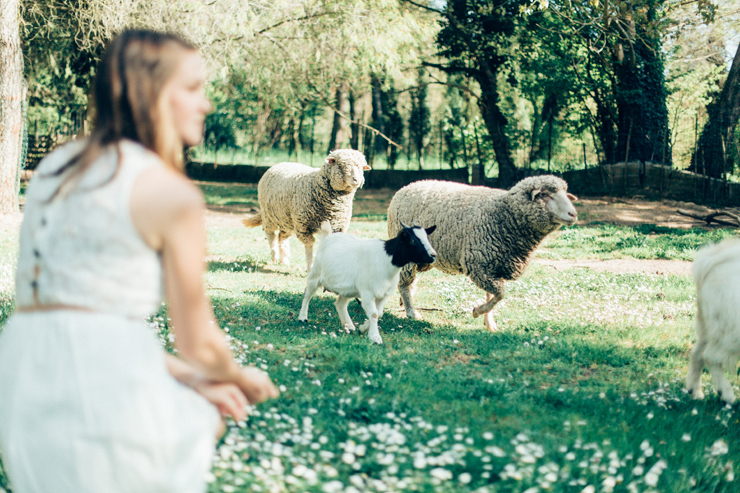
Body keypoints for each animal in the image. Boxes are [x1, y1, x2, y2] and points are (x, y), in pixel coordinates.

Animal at [298, 219, 436, 342]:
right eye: (413, 241)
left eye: (427, 238)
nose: (433, 255)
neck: (386, 259)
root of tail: (328, 237)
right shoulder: (367, 292)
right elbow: (374, 314)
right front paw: (375, 337)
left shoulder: (384, 294)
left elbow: (379, 314)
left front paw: (363, 328)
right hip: (315, 274)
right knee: (307, 293)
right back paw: (302, 317)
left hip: (348, 289)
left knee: (340, 304)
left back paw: (349, 326)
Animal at [388, 174, 580, 330]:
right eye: (545, 195)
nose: (573, 214)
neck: (503, 214)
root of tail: (408, 186)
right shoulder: (479, 264)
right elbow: (500, 294)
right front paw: (477, 311)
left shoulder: (495, 265)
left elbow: (492, 296)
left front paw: (489, 322)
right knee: (404, 282)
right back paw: (411, 311)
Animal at [684, 238, 740, 404]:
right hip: (731, 329)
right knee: (711, 356)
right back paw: (727, 395)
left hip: (712, 326)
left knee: (697, 353)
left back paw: (695, 392)